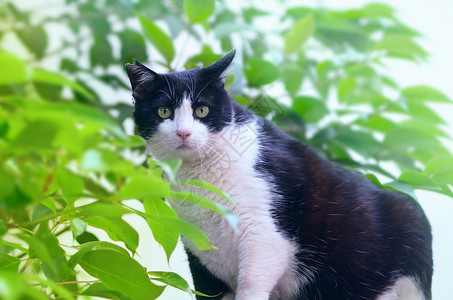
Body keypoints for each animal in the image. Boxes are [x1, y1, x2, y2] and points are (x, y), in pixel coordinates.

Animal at [126, 50, 430, 298]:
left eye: (202, 110)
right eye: (164, 111)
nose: (183, 133)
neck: (200, 176)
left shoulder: (264, 235)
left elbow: (252, 285)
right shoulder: (198, 249)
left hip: (410, 222)